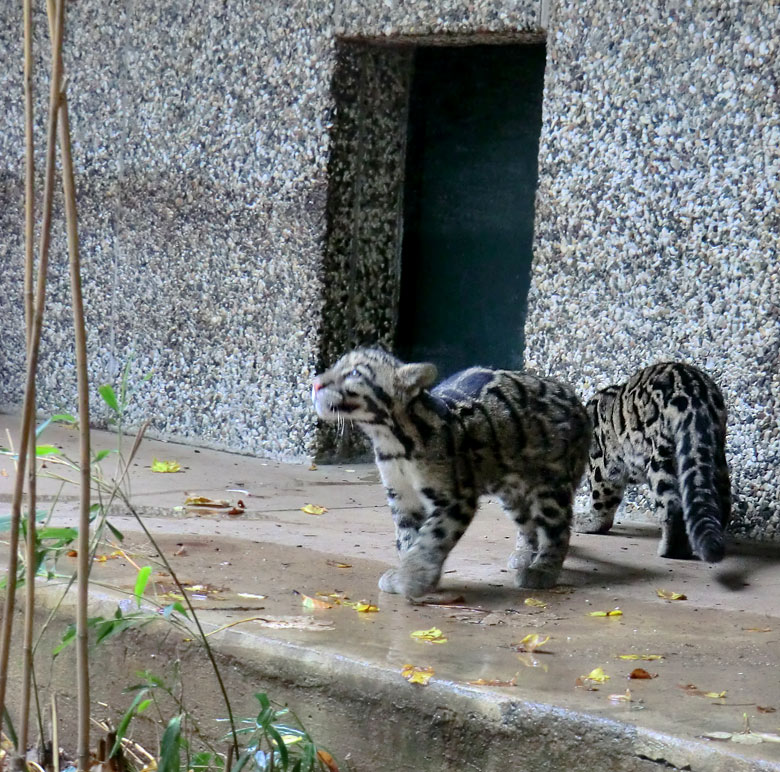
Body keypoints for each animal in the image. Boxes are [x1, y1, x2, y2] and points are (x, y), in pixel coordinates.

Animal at [310, 348, 592, 596]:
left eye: (354, 373)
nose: (315, 384)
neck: (390, 441)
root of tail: (573, 395)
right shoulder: (401, 498)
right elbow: (407, 537)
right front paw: (412, 572)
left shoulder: (454, 498)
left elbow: (431, 537)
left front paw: (412, 578)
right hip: (512, 491)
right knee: (528, 523)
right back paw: (524, 554)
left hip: (551, 483)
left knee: (557, 529)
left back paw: (543, 570)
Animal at [584, 362, 732, 560]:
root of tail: (694, 395)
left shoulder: (603, 465)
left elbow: (601, 499)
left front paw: (590, 524)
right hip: (714, 457)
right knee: (720, 503)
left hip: (661, 456)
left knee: (673, 506)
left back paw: (671, 550)